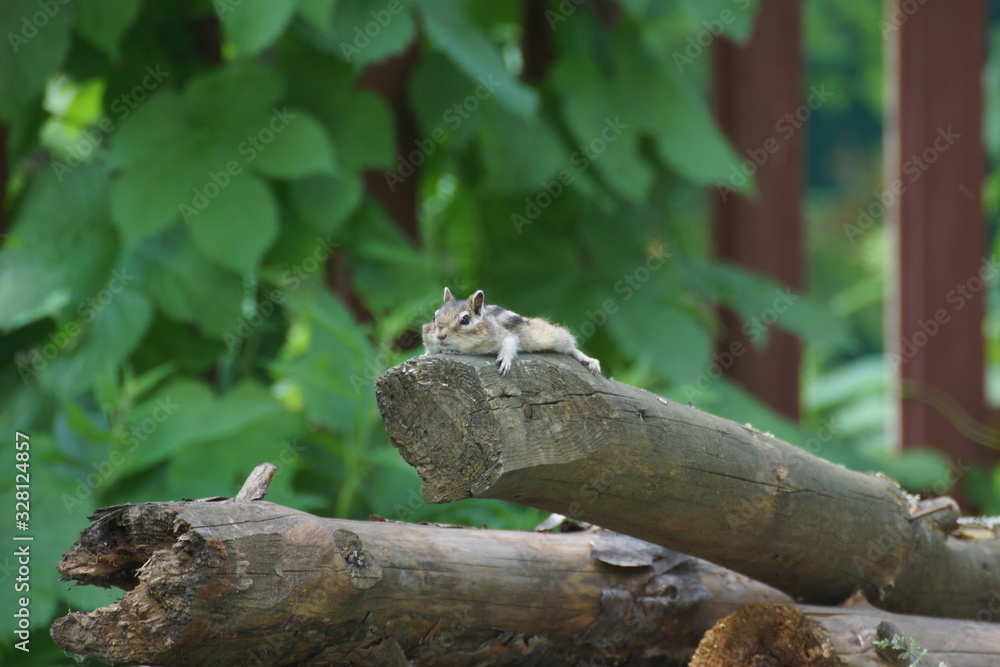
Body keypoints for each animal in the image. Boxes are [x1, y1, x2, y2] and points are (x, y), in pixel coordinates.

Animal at [421, 287, 601, 376]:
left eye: (465, 320)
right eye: (434, 317)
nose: (440, 336)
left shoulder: (503, 333)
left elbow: (510, 342)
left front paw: (505, 360)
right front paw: (424, 355)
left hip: (547, 336)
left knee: (569, 346)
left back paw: (588, 360)